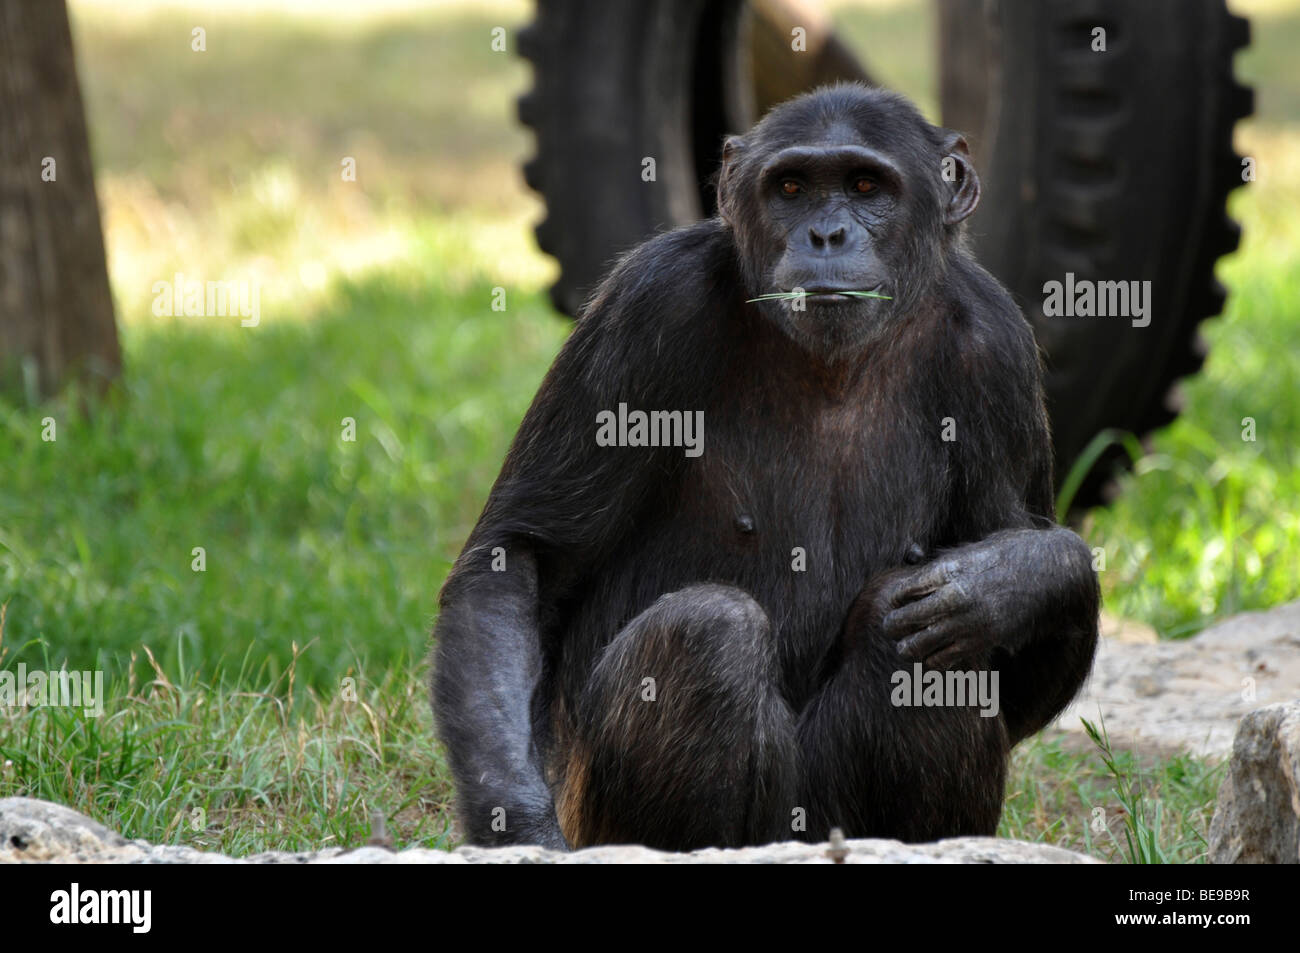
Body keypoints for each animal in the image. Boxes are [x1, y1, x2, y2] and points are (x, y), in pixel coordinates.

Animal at [434, 85, 1097, 852]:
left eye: (866, 186)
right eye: (791, 188)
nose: (826, 235)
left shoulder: (1000, 353)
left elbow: (1019, 675)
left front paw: (1018, 576)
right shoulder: (649, 303)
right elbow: (525, 556)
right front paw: (519, 823)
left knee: (924, 636)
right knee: (709, 631)